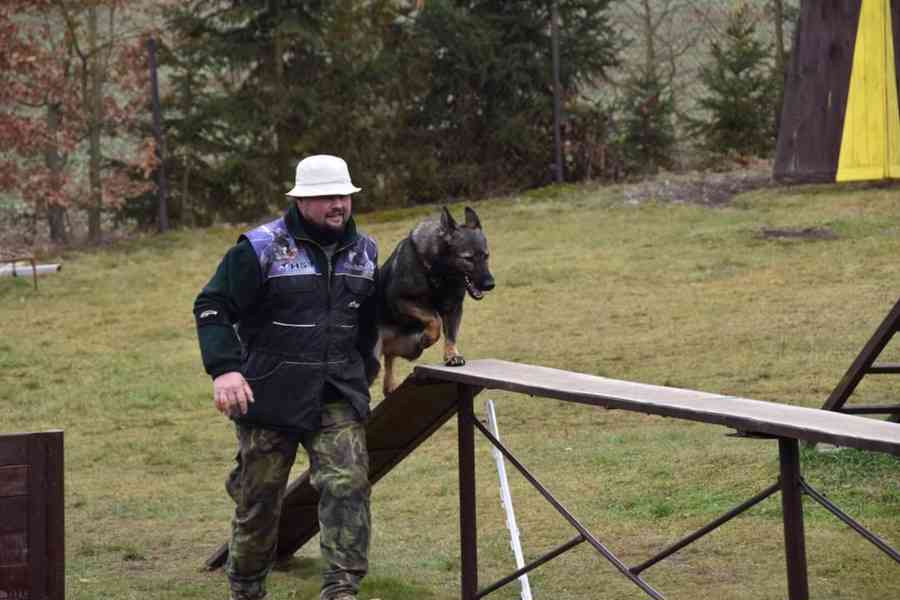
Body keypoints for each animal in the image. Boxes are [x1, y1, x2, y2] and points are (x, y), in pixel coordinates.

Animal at [376, 204, 496, 396]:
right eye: (468, 258)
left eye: (486, 256)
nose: (490, 284)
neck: (440, 271)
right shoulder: (403, 301)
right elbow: (434, 319)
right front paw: (428, 337)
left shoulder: (454, 308)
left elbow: (451, 334)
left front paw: (452, 355)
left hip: (407, 349)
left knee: (390, 357)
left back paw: (390, 385)